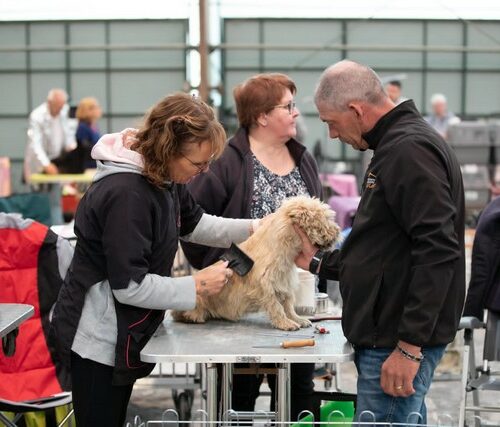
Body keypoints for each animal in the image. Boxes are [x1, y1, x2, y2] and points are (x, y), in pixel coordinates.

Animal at [172, 196, 340, 332]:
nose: (337, 231)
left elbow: (288, 304)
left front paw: (296, 318)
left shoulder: (284, 282)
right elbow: (276, 306)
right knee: (179, 313)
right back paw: (193, 316)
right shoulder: (265, 285)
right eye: (325, 220)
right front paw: (285, 323)